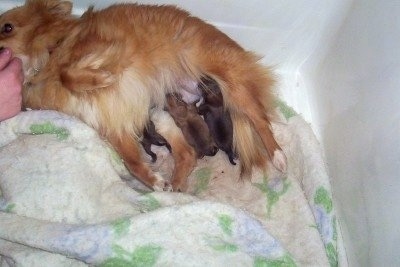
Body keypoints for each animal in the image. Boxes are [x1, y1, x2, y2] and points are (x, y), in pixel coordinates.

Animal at [0, 1, 288, 192]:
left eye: (7, 27)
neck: (49, 54)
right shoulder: (111, 123)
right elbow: (131, 162)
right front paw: (154, 181)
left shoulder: (114, 51)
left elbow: (68, 72)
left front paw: (100, 78)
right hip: (164, 113)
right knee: (187, 154)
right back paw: (177, 183)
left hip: (232, 84)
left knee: (261, 121)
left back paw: (279, 156)